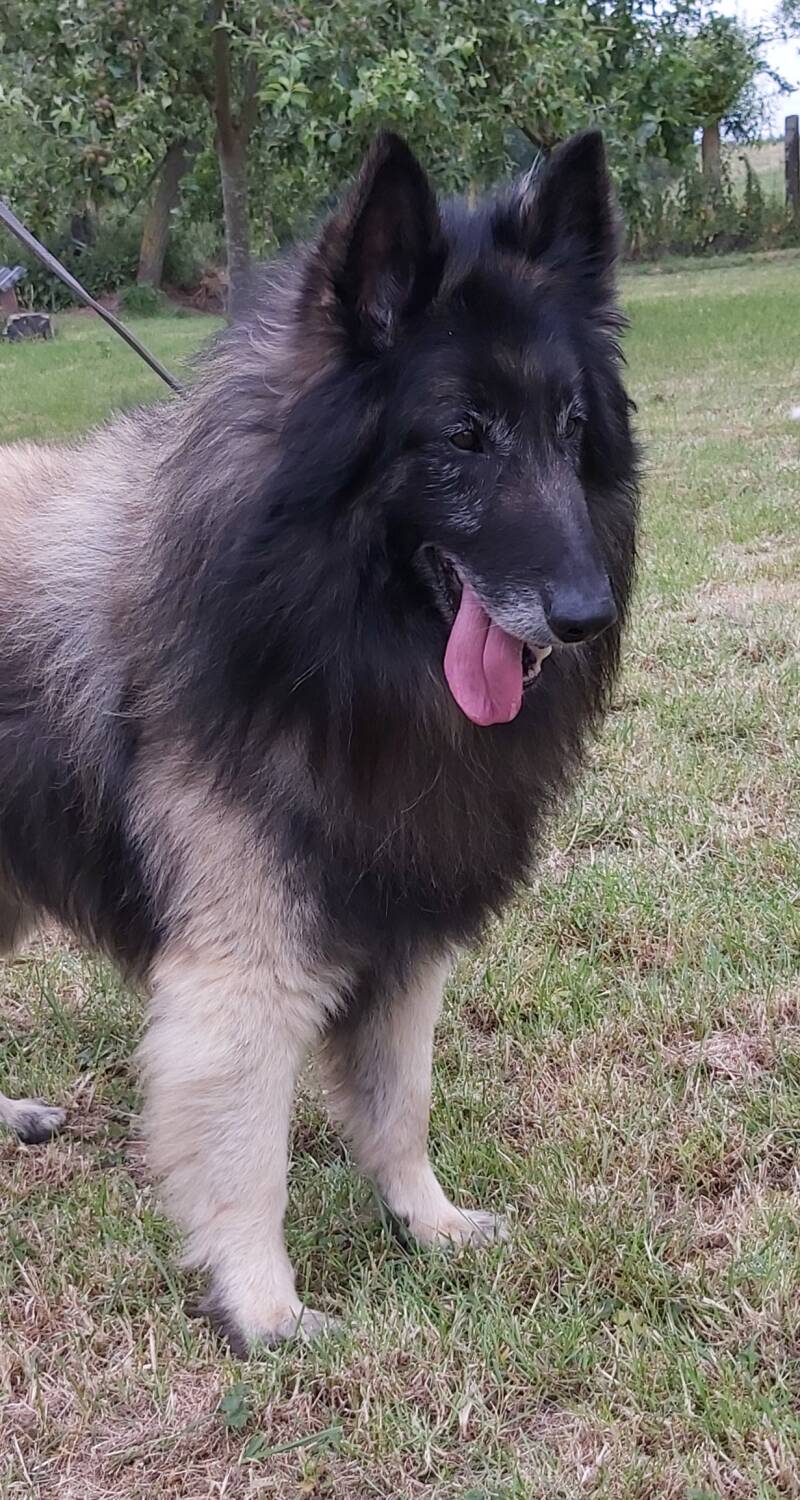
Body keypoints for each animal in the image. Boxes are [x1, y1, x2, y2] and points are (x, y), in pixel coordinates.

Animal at [0, 129, 637, 1352]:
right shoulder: (244, 973)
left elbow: (399, 1105)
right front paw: (265, 1312)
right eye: (460, 437)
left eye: (572, 428)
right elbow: (248, 1158)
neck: (320, 629)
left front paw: (426, 1224)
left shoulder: (402, 933)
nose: (587, 617)